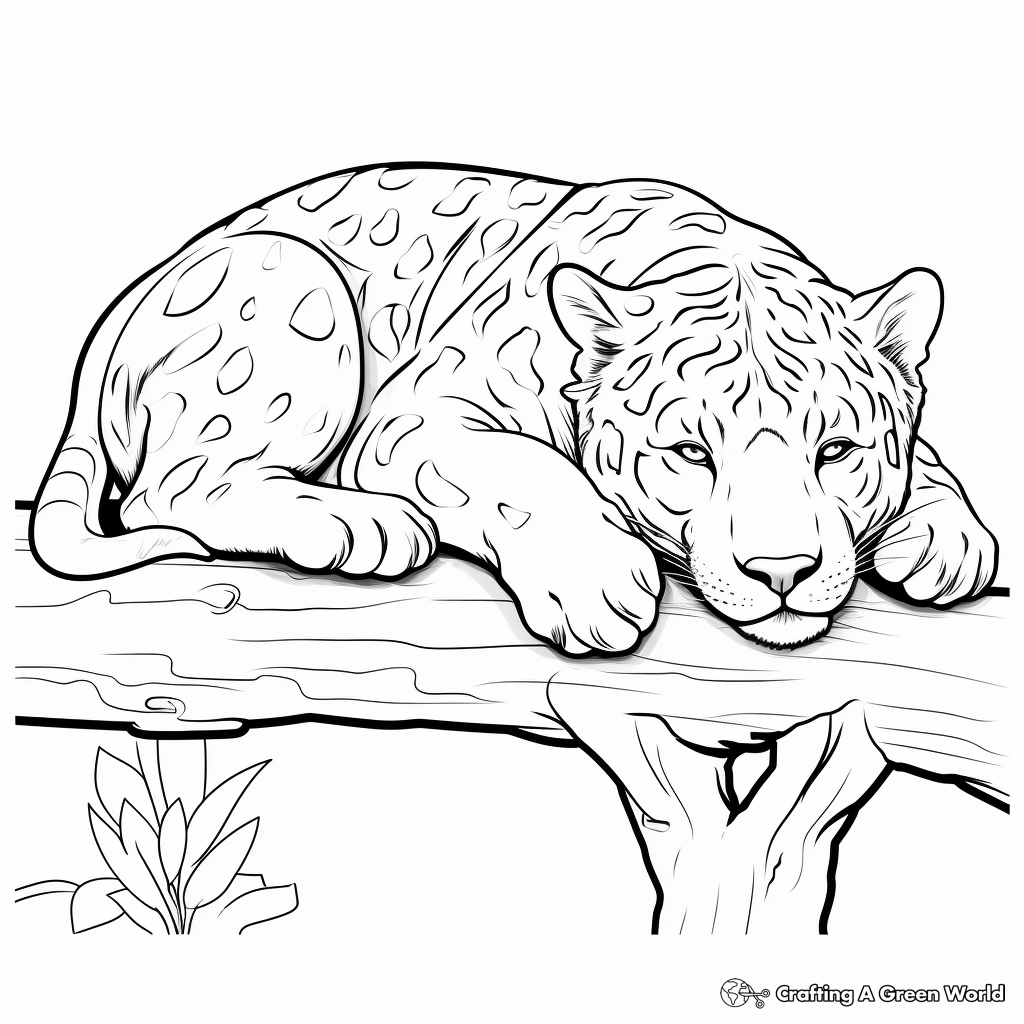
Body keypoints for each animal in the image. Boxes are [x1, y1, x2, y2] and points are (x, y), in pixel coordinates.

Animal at [30, 162, 998, 654]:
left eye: (837, 452)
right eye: (690, 454)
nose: (783, 572)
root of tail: (130, 298)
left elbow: (931, 462)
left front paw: (948, 539)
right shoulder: (416, 419)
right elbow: (525, 469)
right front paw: (596, 584)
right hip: (291, 276)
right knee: (171, 492)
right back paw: (359, 526)